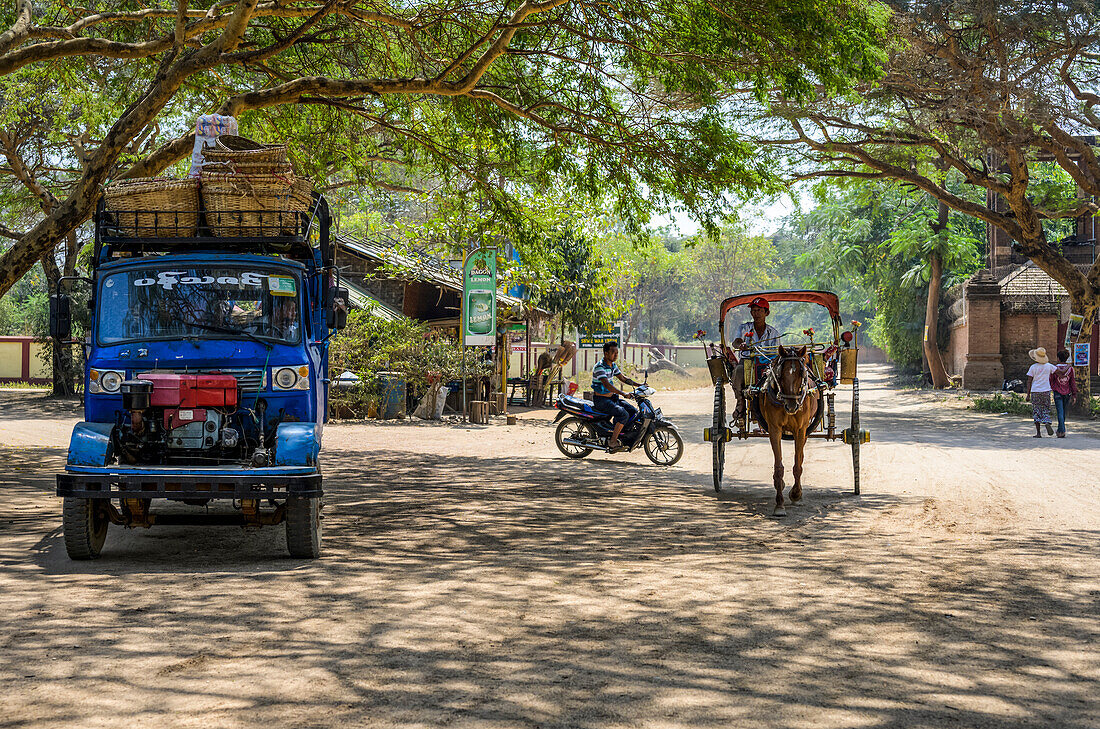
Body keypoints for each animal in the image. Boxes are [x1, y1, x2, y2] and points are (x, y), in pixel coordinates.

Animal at [761, 345, 822, 516]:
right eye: (780, 373)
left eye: (802, 372)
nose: (792, 406)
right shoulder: (774, 429)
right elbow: (779, 467)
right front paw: (779, 504)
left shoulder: (801, 429)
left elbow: (797, 464)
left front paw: (796, 493)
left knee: (800, 457)